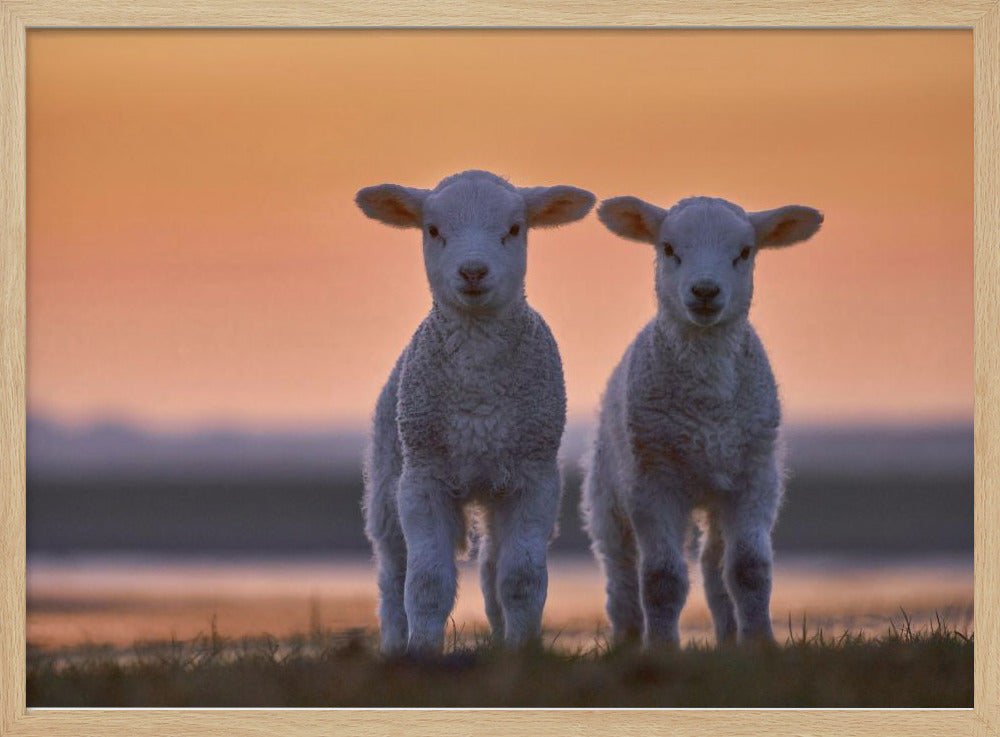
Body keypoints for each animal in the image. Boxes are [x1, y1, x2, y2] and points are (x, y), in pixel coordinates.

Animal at [356, 170, 595, 655]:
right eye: (432, 230)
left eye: (515, 229)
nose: (472, 271)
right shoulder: (423, 479)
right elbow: (426, 583)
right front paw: (422, 653)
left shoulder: (534, 478)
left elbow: (521, 579)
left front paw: (523, 651)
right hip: (388, 482)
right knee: (392, 575)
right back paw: (394, 645)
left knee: (490, 568)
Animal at [581, 195, 823, 648]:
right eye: (668, 248)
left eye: (744, 252)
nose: (706, 291)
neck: (707, 407)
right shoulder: (652, 481)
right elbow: (662, 578)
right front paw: (661, 648)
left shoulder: (755, 477)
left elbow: (748, 570)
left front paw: (760, 643)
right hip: (608, 491)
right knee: (621, 571)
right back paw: (627, 638)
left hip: (717, 491)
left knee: (714, 565)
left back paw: (728, 638)